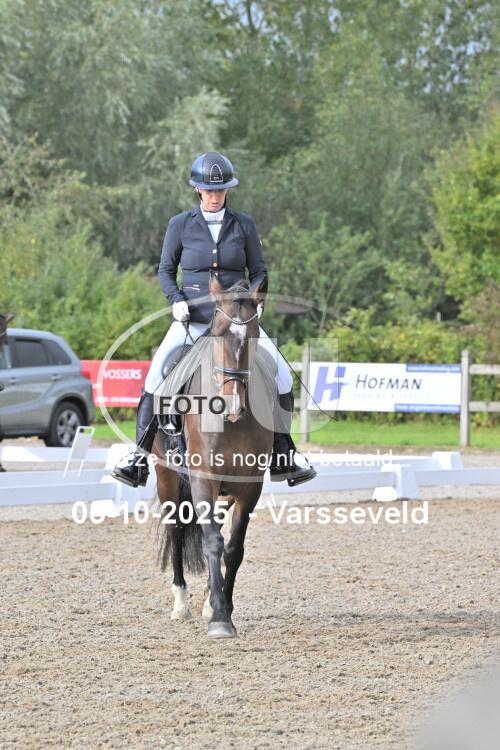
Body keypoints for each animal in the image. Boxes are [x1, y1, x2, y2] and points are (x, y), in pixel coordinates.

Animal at [152, 273, 275, 638]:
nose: (233, 406)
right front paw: (220, 616)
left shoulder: (249, 486)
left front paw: (221, 607)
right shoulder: (202, 479)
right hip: (168, 480)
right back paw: (181, 603)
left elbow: (233, 548)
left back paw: (207, 598)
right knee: (176, 529)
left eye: (253, 334)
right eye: (218, 331)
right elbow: (210, 542)